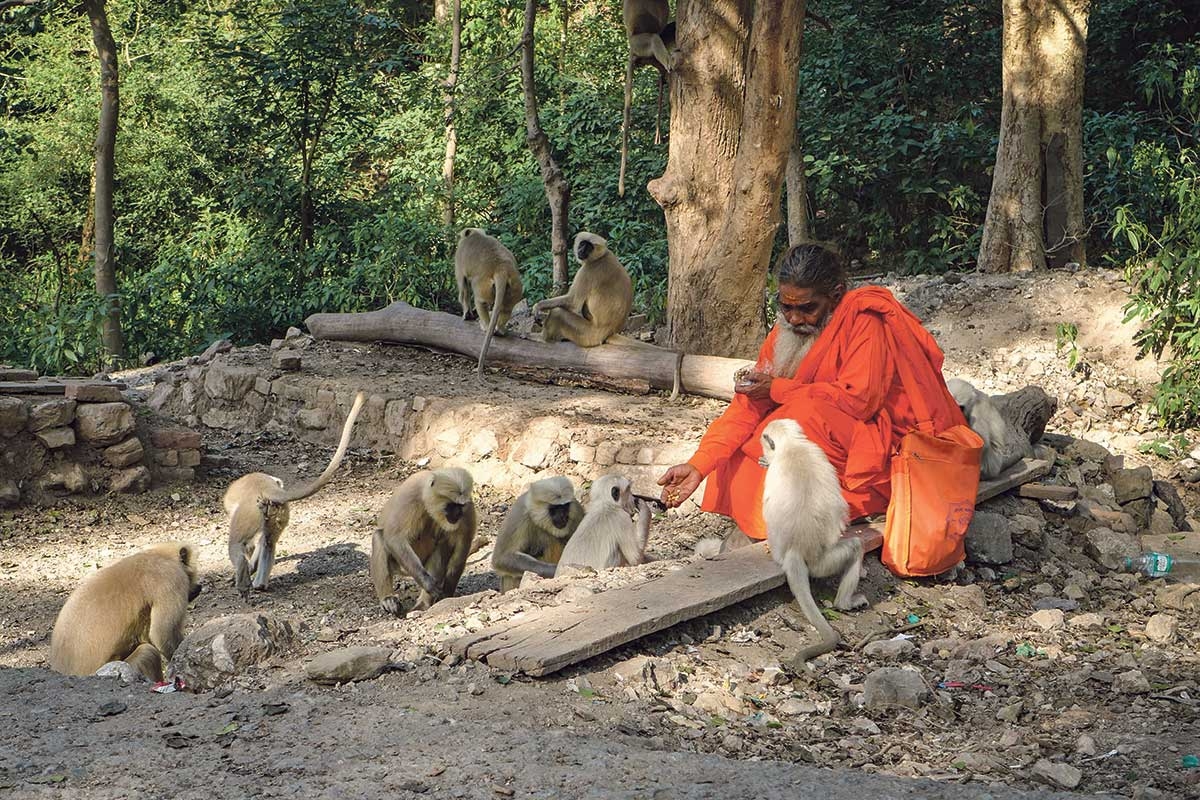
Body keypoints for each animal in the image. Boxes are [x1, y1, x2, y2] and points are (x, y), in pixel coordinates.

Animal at [224, 391, 364, 597]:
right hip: (277, 511)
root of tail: (265, 487)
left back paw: (243, 575)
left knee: (238, 544)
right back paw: (260, 584)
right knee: (268, 542)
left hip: (249, 511)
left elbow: (248, 545)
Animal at [372, 465, 475, 618]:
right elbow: (394, 538)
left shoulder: (468, 508)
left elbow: (461, 551)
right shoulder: (411, 493)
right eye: (451, 505)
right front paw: (428, 585)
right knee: (379, 536)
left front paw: (446, 594)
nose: (457, 514)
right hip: (401, 565)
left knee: (443, 545)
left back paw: (423, 604)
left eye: (460, 506)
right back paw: (388, 598)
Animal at [451, 226, 523, 381]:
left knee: (479, 301)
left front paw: (466, 315)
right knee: (507, 309)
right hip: (515, 288)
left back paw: (485, 326)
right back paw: (500, 330)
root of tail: (501, 268)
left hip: (483, 287)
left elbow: (463, 290)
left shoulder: (459, 259)